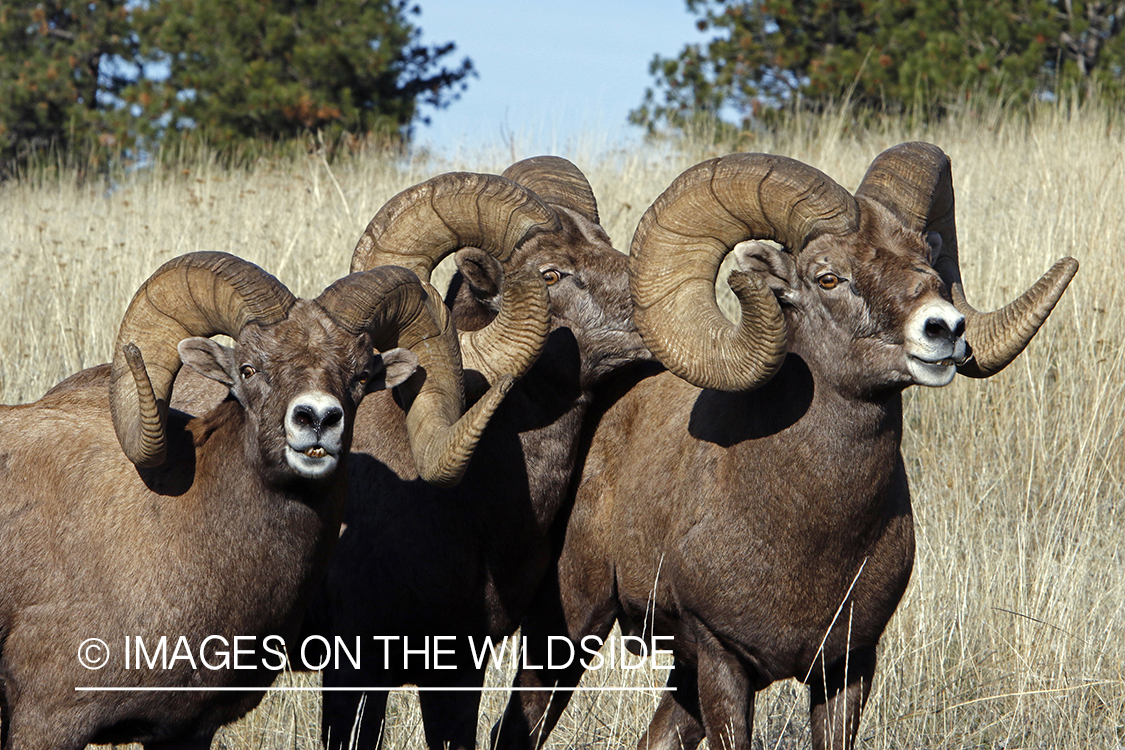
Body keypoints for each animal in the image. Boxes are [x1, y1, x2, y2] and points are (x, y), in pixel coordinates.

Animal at [497, 142, 1075, 750]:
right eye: (828, 277)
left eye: (925, 257)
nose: (945, 330)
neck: (805, 526)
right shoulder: (723, 661)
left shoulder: (847, 669)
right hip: (568, 630)